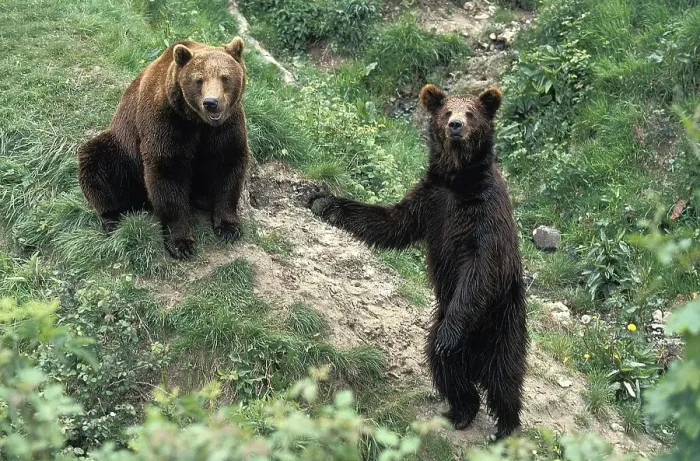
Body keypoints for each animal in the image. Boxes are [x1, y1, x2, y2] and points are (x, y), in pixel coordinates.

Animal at [78, 37, 249, 259]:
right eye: (199, 80)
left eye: (224, 77)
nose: (211, 102)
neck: (197, 121)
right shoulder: (166, 121)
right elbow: (167, 172)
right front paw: (181, 243)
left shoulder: (226, 127)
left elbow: (228, 163)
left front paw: (228, 227)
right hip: (121, 151)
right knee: (97, 162)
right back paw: (112, 219)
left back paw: (203, 200)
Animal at [308, 85, 528, 439]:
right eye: (446, 111)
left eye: (471, 113)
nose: (455, 125)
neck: (458, 182)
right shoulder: (430, 203)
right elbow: (391, 221)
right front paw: (323, 202)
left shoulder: (484, 216)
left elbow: (478, 268)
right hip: (444, 323)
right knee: (444, 364)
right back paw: (460, 410)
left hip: (501, 318)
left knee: (503, 374)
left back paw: (505, 427)